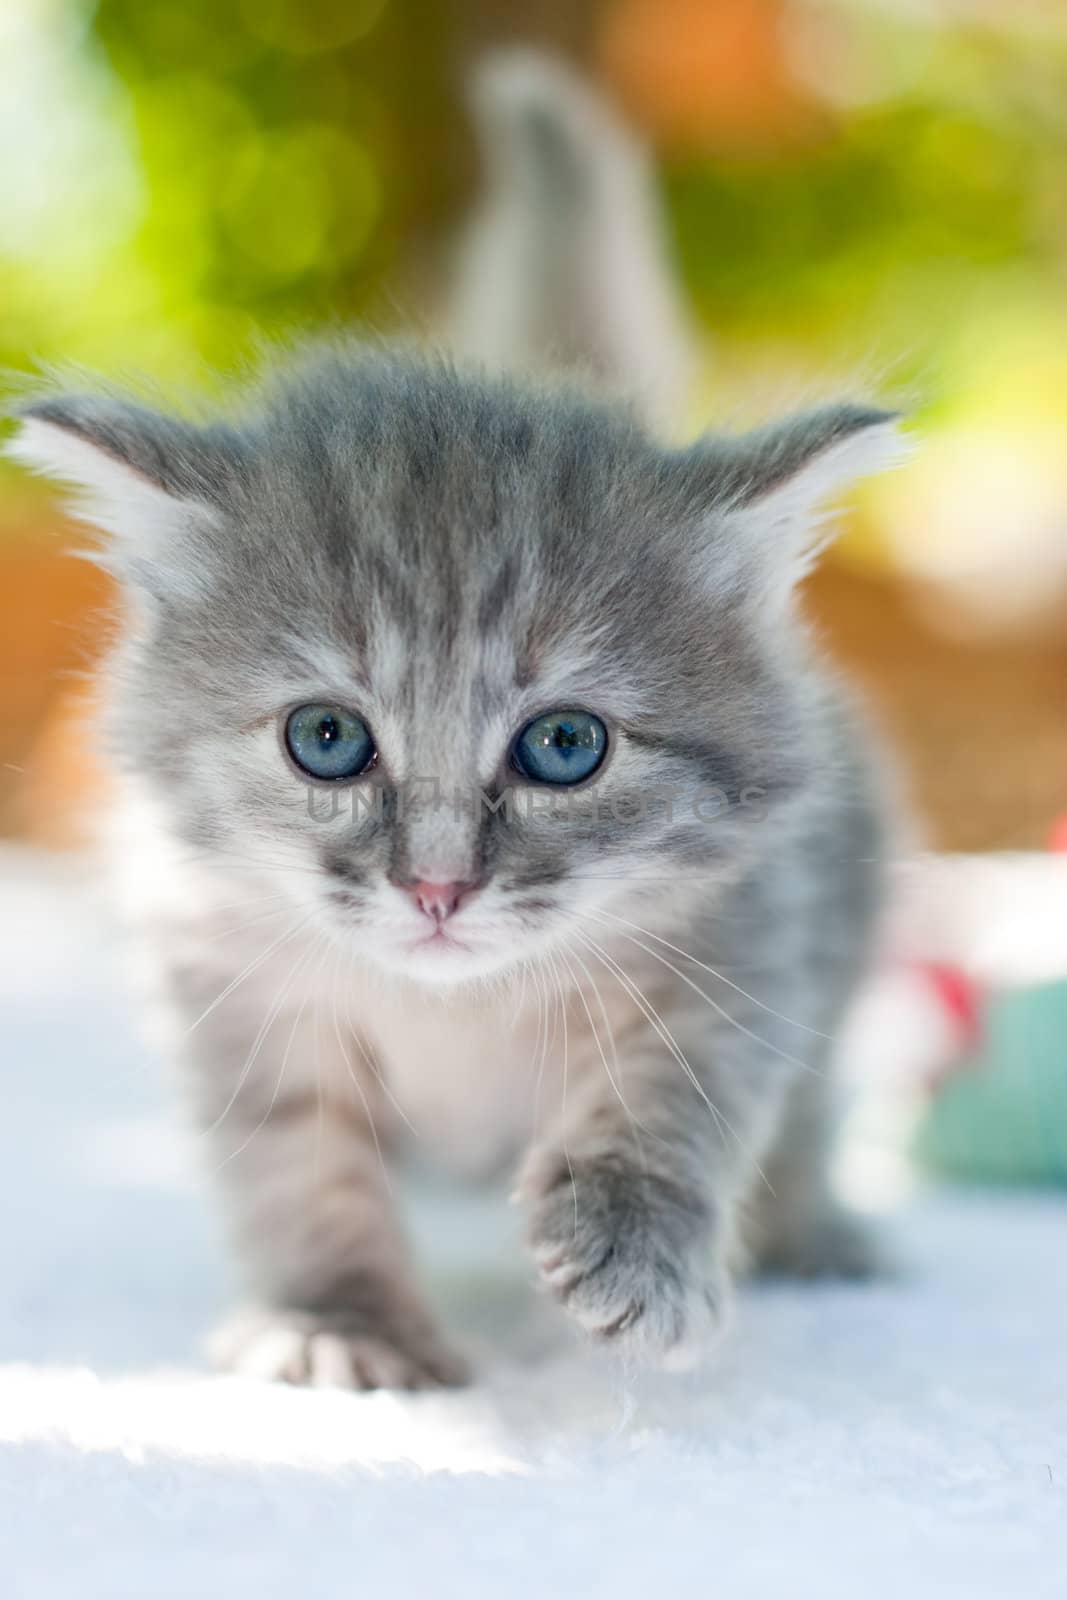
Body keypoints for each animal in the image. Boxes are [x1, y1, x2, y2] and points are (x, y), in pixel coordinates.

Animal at [6, 59, 902, 1388]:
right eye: (326, 739)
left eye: (563, 746)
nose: (435, 888)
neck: (454, 1011)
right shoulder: (225, 988)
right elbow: (295, 1171)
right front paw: (341, 1318)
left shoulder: (741, 943)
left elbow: (674, 1100)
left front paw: (636, 1240)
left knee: (808, 1107)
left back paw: (809, 1229)